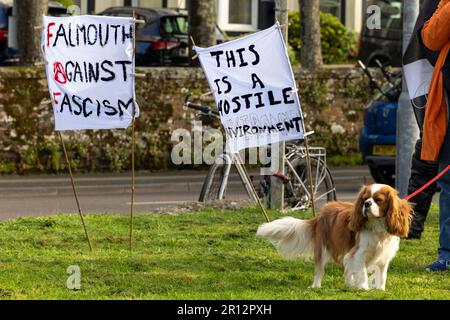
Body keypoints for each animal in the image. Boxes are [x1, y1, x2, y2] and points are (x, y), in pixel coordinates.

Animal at [255, 182, 414, 290]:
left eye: (378, 200)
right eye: (364, 199)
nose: (367, 204)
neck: (377, 225)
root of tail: (320, 213)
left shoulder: (383, 256)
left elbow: (382, 275)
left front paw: (380, 290)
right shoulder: (358, 253)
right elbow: (362, 272)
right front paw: (364, 288)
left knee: (346, 267)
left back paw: (349, 284)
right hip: (322, 249)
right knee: (319, 270)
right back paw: (316, 286)